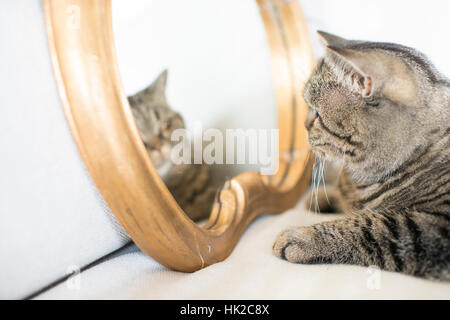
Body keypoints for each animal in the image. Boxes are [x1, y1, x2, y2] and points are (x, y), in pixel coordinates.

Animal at [272, 30, 448, 280]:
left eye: (316, 113)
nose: (304, 127)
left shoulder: (431, 226)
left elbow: (368, 225)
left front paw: (304, 237)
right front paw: (327, 197)